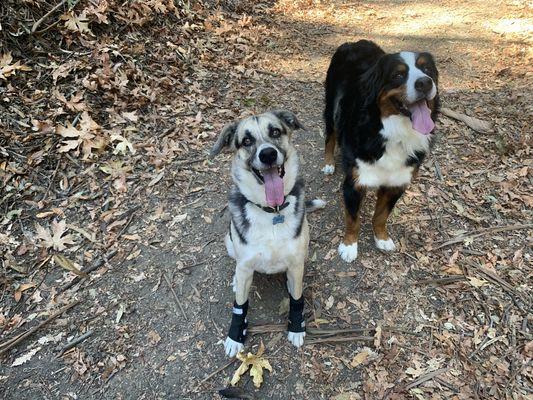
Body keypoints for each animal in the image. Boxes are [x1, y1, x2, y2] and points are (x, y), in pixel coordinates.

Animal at [209, 109, 324, 356]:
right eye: (246, 141)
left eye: (275, 132)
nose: (268, 154)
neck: (272, 211)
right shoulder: (244, 265)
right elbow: (240, 305)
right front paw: (235, 336)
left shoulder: (295, 263)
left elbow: (296, 298)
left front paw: (296, 326)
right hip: (229, 243)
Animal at [322, 40, 438, 262]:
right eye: (398, 75)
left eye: (427, 69)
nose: (425, 83)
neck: (394, 133)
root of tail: (354, 43)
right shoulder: (354, 182)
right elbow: (353, 220)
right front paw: (349, 246)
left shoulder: (397, 183)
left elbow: (381, 216)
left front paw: (382, 238)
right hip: (331, 106)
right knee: (330, 136)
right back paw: (329, 163)